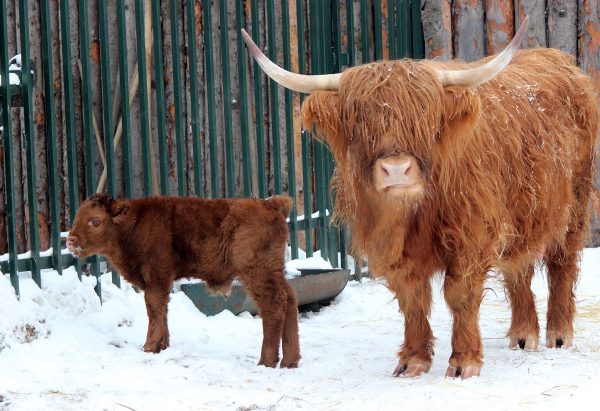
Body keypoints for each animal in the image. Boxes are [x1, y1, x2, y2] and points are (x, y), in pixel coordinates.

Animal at [67, 195, 300, 368]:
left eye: (95, 220)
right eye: (78, 216)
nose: (70, 240)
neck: (134, 224)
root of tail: (271, 205)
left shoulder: (156, 277)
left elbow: (155, 309)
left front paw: (149, 347)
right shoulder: (161, 280)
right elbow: (162, 311)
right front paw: (162, 346)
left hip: (257, 274)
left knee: (274, 306)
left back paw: (266, 361)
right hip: (274, 272)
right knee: (289, 299)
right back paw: (290, 361)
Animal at [243, 16, 600, 380]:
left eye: (424, 120)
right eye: (361, 120)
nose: (396, 170)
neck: (413, 214)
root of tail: (557, 60)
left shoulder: (471, 235)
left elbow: (460, 294)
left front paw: (464, 362)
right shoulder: (393, 246)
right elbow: (412, 297)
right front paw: (413, 360)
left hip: (575, 204)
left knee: (562, 263)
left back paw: (558, 334)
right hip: (523, 213)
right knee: (519, 267)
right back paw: (524, 335)